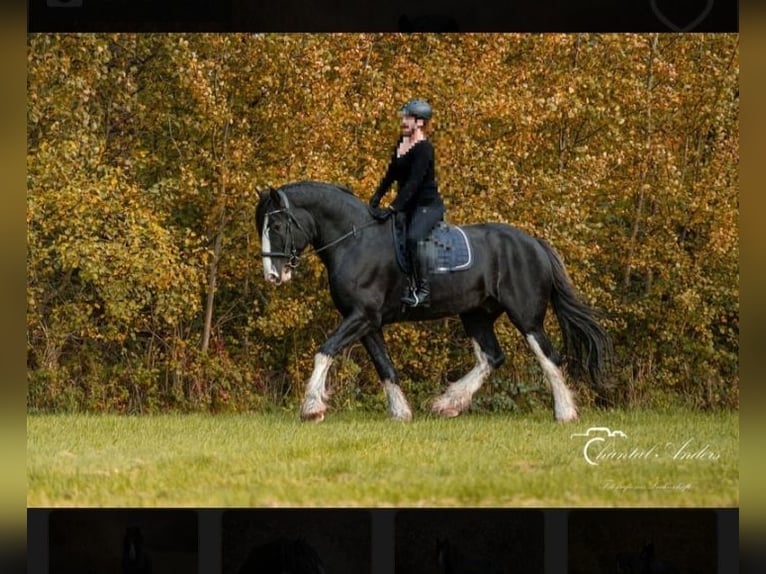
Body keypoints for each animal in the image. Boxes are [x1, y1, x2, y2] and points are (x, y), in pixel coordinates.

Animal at [255, 182, 616, 426]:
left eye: (277, 225)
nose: (272, 275)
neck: (355, 240)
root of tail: (535, 243)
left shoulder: (361, 316)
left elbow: (325, 350)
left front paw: (312, 407)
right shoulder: (366, 321)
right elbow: (385, 366)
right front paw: (401, 412)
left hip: (526, 317)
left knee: (548, 356)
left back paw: (565, 412)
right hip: (476, 314)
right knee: (492, 357)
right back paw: (448, 404)